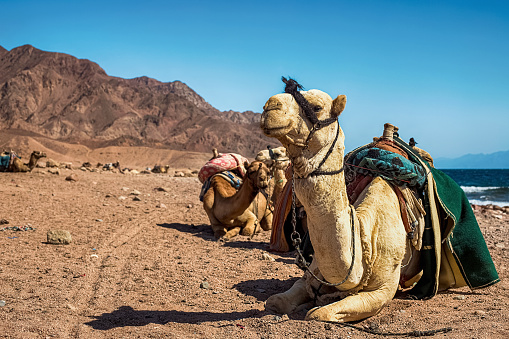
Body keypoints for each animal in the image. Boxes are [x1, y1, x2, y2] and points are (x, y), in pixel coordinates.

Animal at [260, 79, 410, 324]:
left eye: (317, 107)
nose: (269, 106)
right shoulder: (311, 274)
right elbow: (277, 300)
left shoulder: (383, 291)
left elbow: (319, 313)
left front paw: (316, 306)